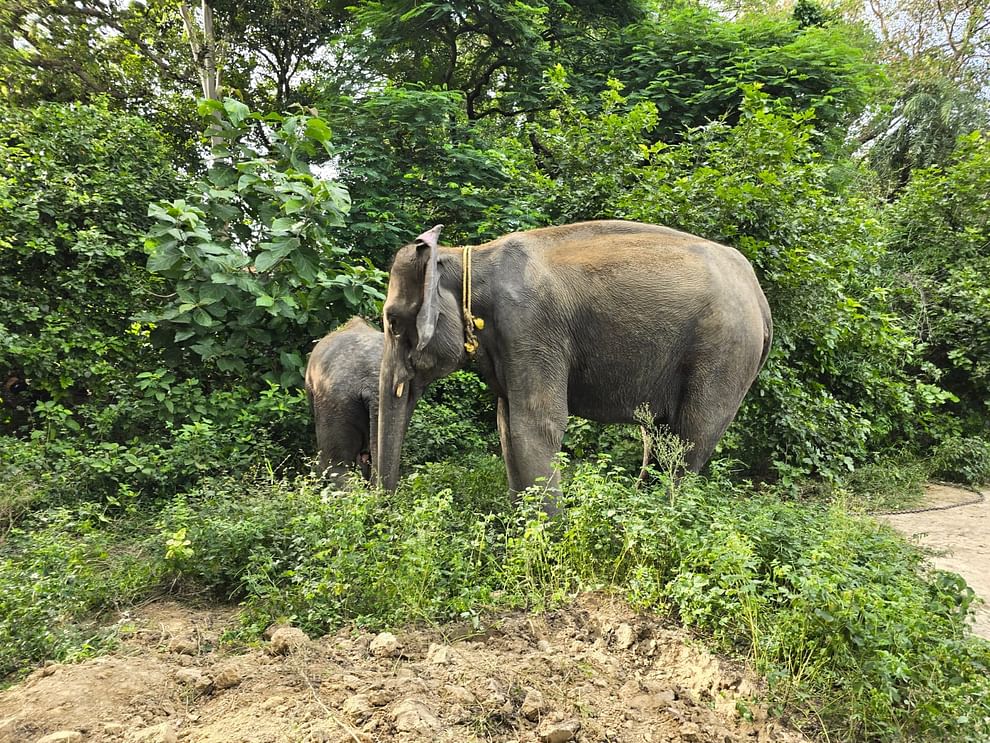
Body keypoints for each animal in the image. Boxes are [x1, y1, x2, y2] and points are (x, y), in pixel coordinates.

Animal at [376, 218, 772, 502]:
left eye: (393, 323)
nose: (388, 505)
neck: (466, 257)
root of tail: (757, 293)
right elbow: (506, 425)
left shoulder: (530, 324)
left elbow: (535, 425)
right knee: (659, 438)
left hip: (725, 350)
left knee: (689, 439)